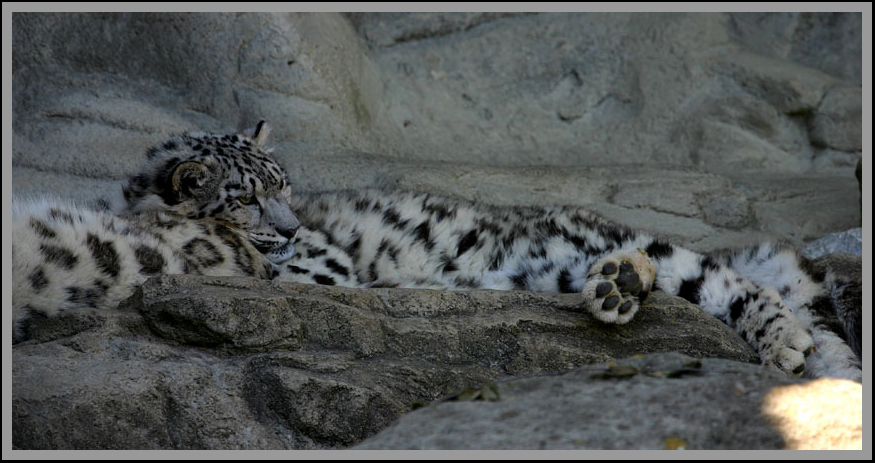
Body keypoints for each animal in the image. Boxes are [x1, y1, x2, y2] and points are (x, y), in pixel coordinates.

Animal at [12, 123, 864, 384]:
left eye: (286, 185)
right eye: (246, 196)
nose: (283, 224)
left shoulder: (318, 262)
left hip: (606, 237)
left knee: (726, 278)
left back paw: (791, 344)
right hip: (549, 263)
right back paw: (615, 288)